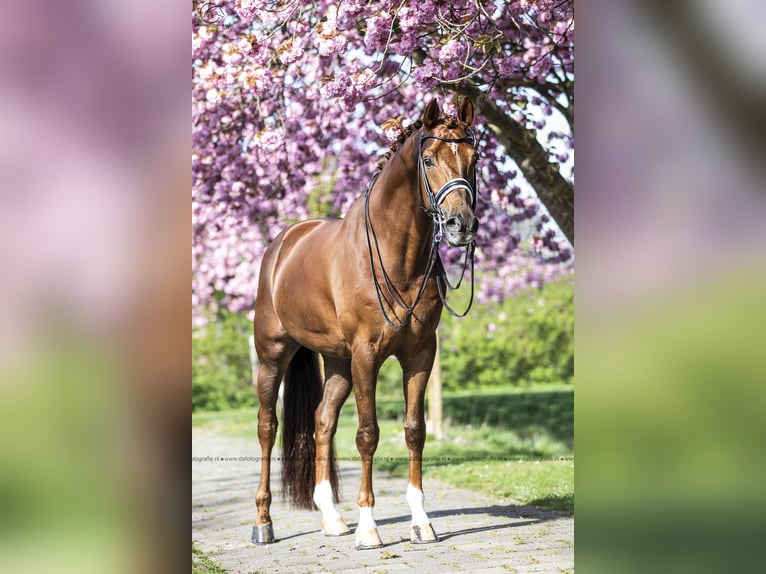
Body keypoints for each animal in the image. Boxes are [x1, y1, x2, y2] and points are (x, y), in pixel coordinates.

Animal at [251, 97, 479, 549]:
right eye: (428, 159)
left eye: (474, 158)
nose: (461, 225)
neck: (396, 257)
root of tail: (282, 245)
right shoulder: (366, 354)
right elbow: (368, 434)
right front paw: (369, 527)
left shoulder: (420, 355)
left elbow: (414, 430)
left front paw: (421, 522)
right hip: (273, 355)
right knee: (268, 428)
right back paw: (264, 524)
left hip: (338, 363)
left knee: (322, 422)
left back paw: (331, 518)